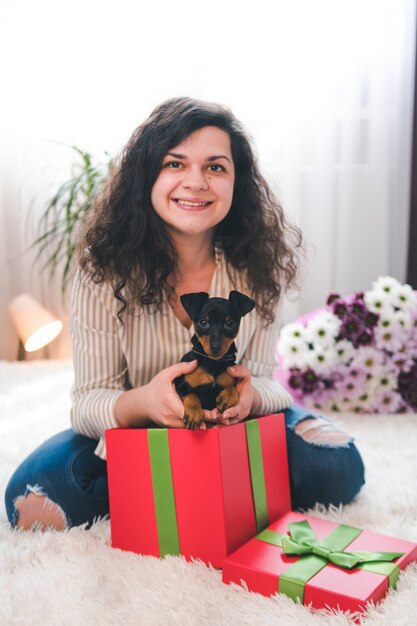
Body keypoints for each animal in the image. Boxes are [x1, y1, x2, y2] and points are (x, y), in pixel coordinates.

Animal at [174, 288, 255, 426]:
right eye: (203, 322)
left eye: (230, 324)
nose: (216, 347)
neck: (213, 362)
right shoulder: (180, 385)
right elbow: (192, 395)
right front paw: (194, 413)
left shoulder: (231, 378)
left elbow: (232, 389)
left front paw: (226, 398)